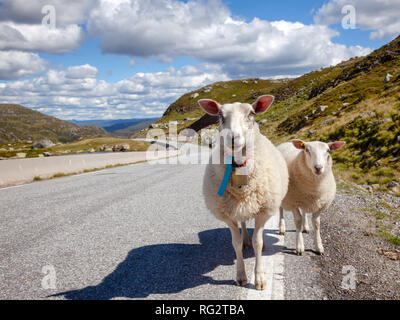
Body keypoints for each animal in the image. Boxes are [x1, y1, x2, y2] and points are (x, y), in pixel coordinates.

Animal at [199, 95, 288, 290]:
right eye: (220, 115)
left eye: (251, 114)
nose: (233, 138)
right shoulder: (227, 215)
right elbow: (236, 242)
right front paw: (241, 275)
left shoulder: (263, 211)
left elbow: (258, 241)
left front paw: (260, 278)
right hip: (237, 206)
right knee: (244, 222)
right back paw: (246, 238)